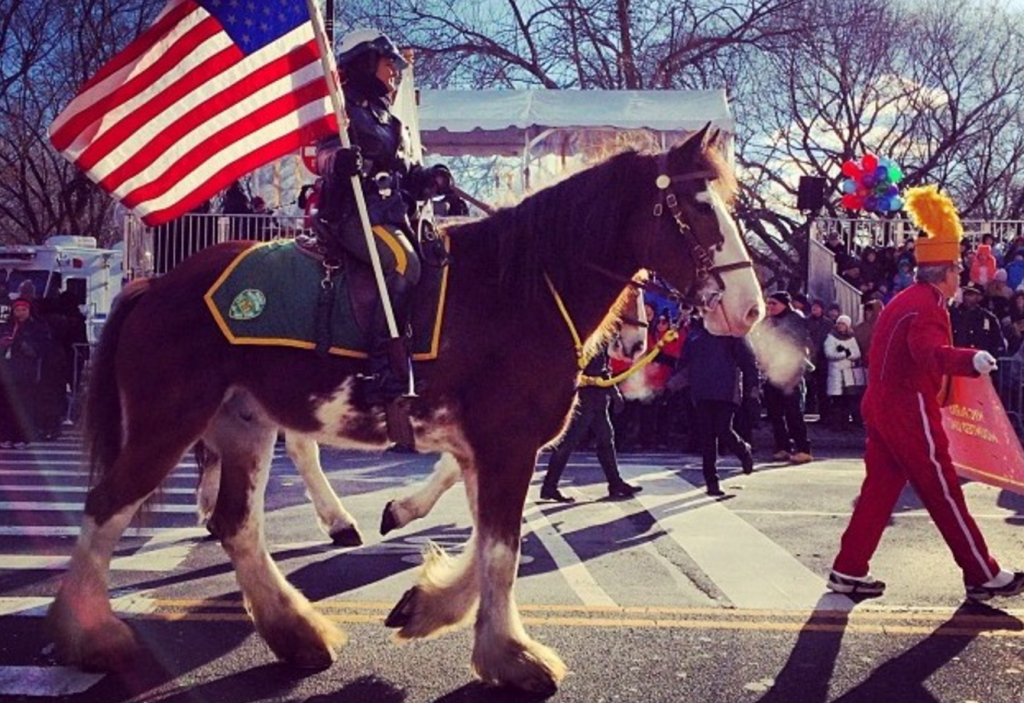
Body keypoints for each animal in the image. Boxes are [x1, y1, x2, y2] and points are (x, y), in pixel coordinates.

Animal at [49, 130, 770, 691]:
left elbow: (487, 540)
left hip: (243, 423)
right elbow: (502, 549)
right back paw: (91, 637)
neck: (524, 288)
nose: (751, 309)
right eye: (692, 208)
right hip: (168, 421)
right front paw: (510, 656)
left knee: (236, 524)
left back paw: (297, 631)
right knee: (106, 507)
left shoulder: (488, 447)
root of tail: (153, 284)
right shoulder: (507, 443)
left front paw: (427, 604)